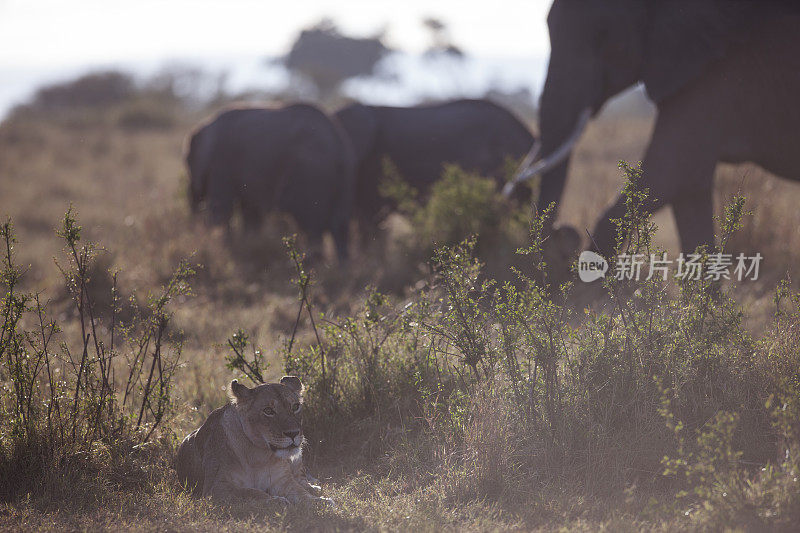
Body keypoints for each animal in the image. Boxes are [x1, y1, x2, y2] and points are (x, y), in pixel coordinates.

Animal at [186, 103, 354, 258]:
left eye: (188, 163)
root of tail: (338, 144)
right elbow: (250, 213)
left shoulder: (221, 163)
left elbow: (221, 210)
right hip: (343, 177)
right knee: (339, 226)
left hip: (311, 173)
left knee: (311, 224)